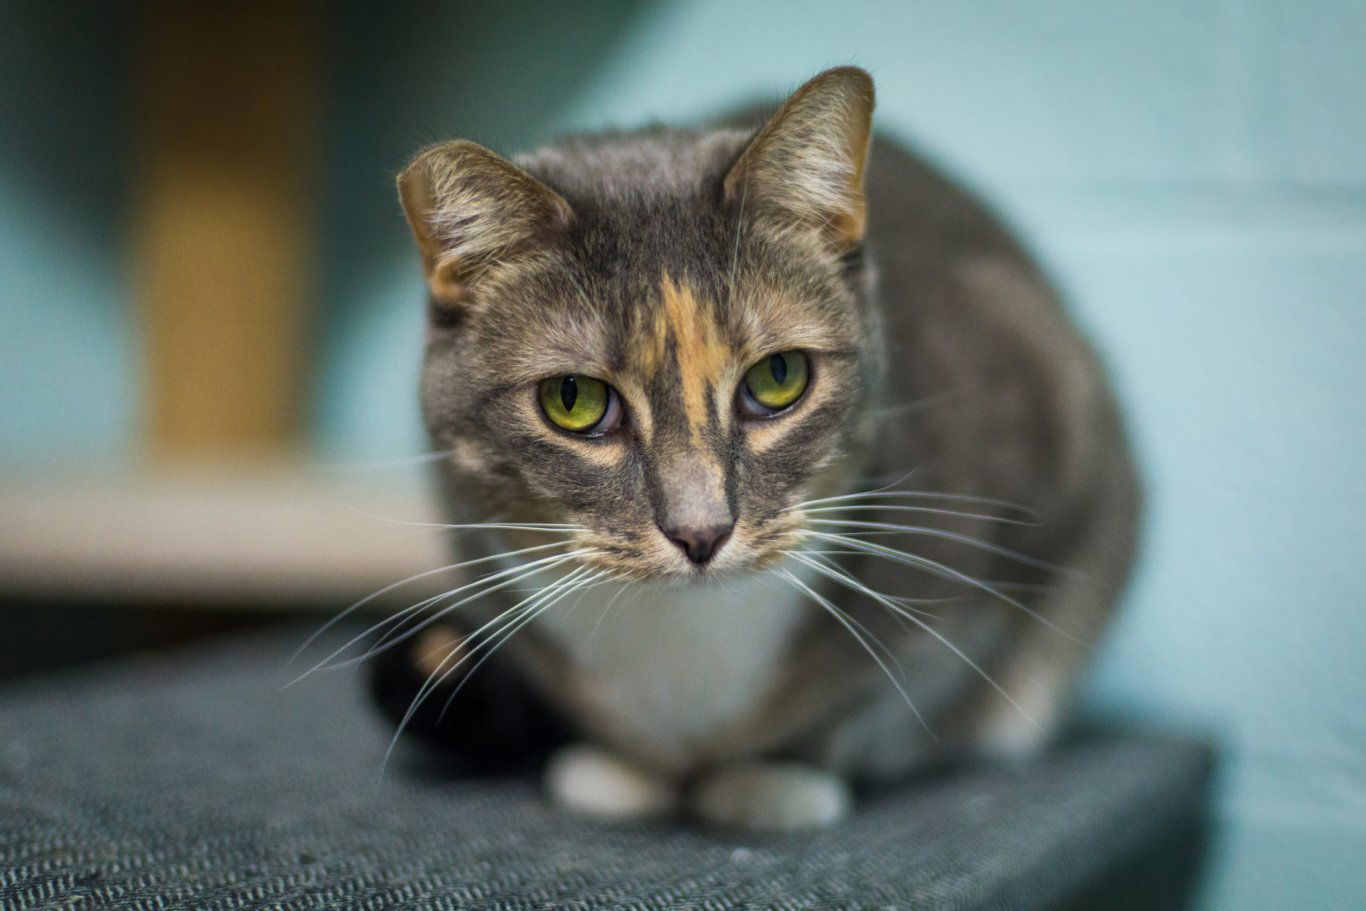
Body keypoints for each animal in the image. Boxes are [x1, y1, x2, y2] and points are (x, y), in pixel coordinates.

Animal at [366, 67, 1141, 830]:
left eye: (779, 377)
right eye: (573, 399)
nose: (701, 531)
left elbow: (882, 700)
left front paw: (771, 782)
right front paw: (623, 770)